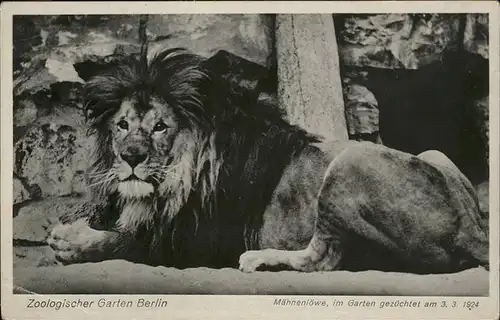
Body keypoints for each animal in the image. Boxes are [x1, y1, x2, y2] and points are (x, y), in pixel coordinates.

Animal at [47, 47, 488, 276]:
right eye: (122, 125)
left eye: (160, 127)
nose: (131, 157)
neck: (181, 177)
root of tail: (471, 229)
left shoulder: (194, 243)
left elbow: (125, 241)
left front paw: (71, 240)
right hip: (433, 154)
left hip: (347, 163)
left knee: (323, 260)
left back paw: (259, 259)